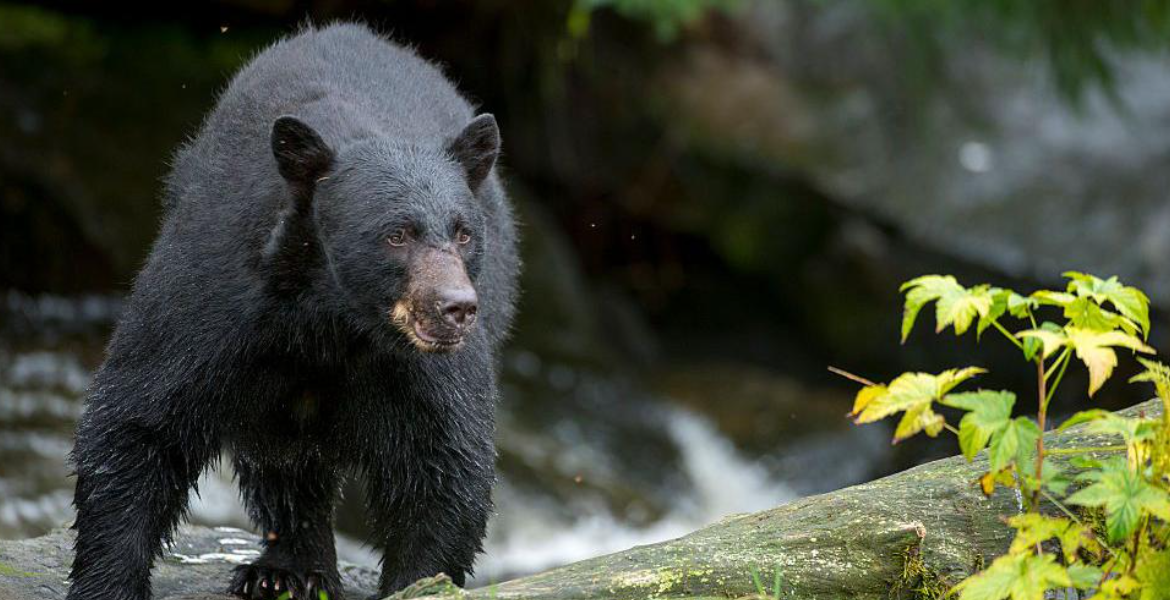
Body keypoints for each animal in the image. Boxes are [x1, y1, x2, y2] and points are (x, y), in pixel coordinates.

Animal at [66, 23, 519, 600]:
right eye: (396, 234)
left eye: (463, 232)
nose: (456, 308)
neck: (332, 319)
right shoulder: (217, 296)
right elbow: (140, 418)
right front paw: (108, 583)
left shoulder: (421, 367)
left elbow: (444, 460)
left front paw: (418, 582)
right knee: (282, 461)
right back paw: (287, 569)